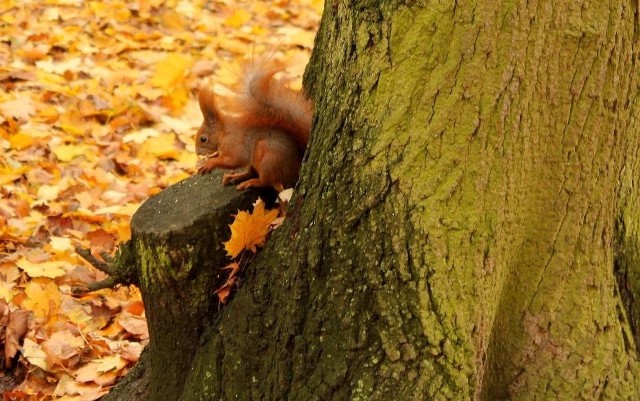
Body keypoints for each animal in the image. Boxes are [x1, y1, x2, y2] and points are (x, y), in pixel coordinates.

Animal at [196, 57, 314, 192]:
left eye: (203, 139)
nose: (197, 152)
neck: (223, 132)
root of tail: (296, 168)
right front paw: (210, 158)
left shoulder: (234, 144)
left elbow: (233, 160)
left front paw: (210, 163)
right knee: (250, 172)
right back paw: (235, 177)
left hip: (267, 159)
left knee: (267, 181)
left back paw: (251, 182)